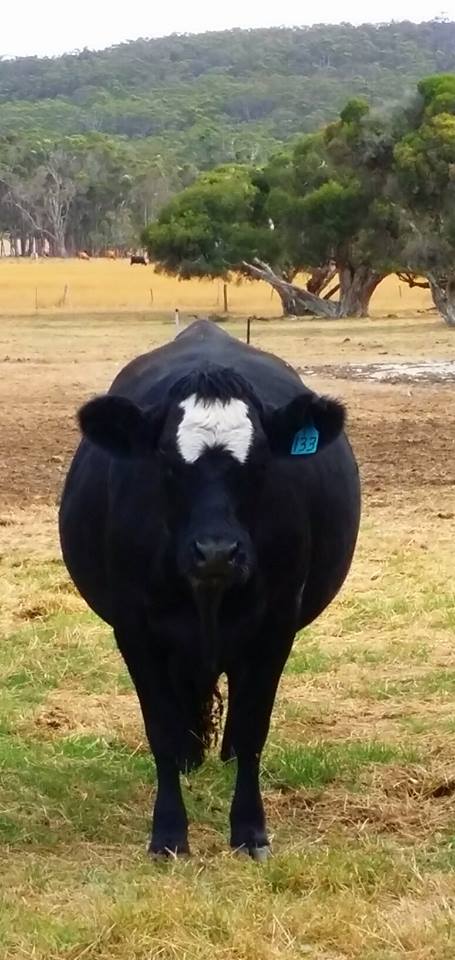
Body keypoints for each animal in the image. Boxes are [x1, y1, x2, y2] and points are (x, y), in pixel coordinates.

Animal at [59, 320, 361, 859]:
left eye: (260, 461)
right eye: (166, 460)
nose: (217, 551)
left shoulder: (276, 625)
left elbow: (254, 725)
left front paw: (249, 831)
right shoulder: (134, 628)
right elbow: (160, 728)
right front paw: (168, 834)